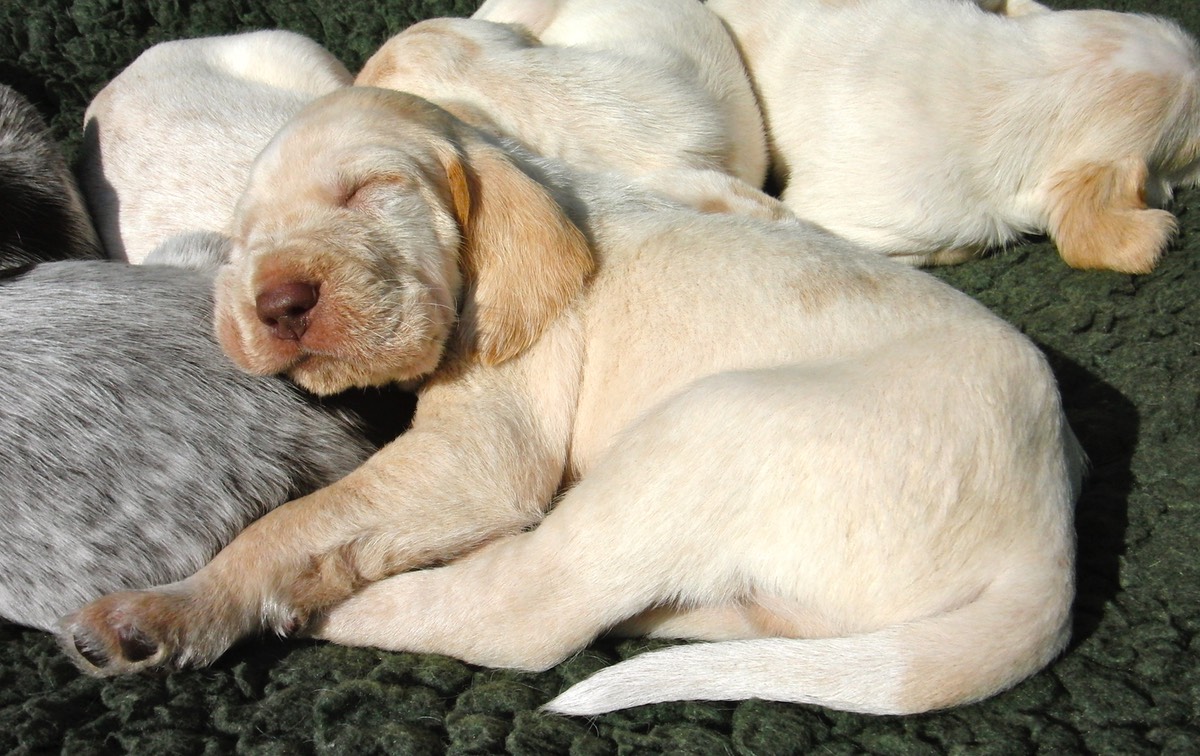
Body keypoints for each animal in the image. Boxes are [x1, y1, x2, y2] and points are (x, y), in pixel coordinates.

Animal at [60, 87, 1082, 717]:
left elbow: (293, 523)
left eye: (368, 190)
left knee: (521, 610)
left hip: (709, 427)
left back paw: (299, 613)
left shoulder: (480, 452)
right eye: (243, 239)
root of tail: (1049, 548)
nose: (274, 305)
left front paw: (193, 602)